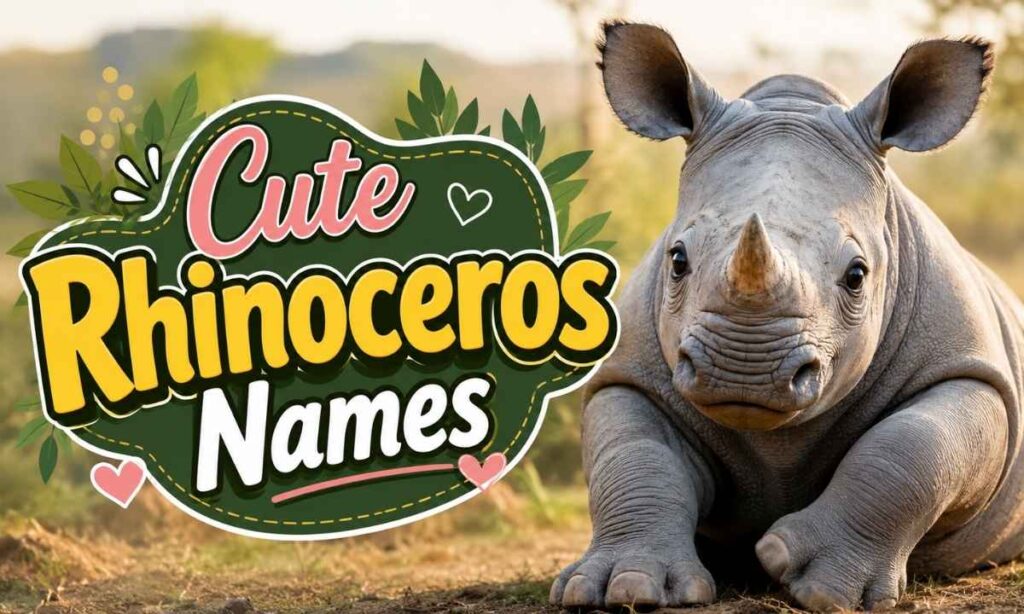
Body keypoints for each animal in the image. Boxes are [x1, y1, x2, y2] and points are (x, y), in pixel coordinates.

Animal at [549, 22, 1023, 611]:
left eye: (857, 275)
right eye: (677, 260)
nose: (743, 372)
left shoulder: (971, 370)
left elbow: (912, 449)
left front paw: (818, 587)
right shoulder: (631, 374)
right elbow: (636, 456)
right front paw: (622, 588)